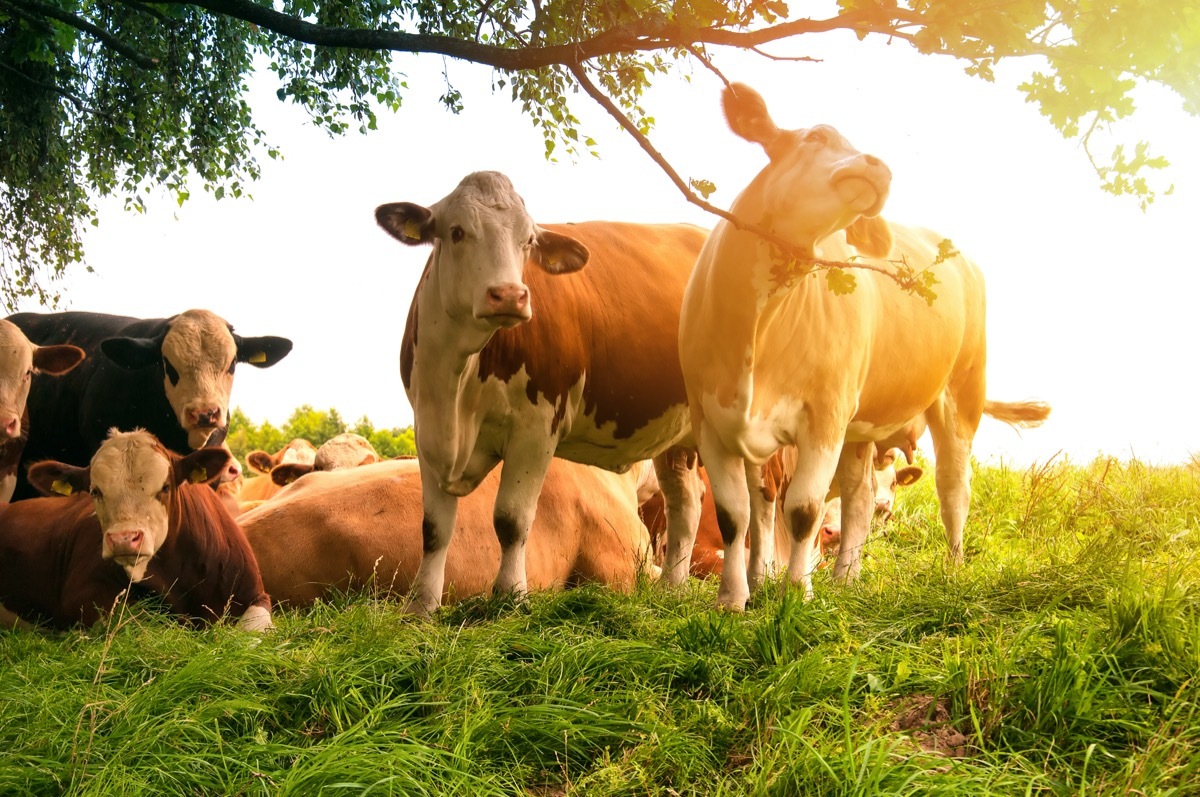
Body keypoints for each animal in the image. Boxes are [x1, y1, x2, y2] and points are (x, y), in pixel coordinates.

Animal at [376, 172, 707, 613]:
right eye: (457, 231)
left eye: (528, 240)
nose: (509, 294)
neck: (456, 382)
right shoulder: (426, 428)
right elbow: (434, 527)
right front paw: (421, 605)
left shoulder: (536, 428)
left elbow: (511, 519)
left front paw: (511, 595)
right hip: (678, 436)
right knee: (685, 506)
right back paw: (674, 589)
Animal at [678, 83, 1050, 609]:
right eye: (815, 136)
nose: (877, 165)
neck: (759, 321)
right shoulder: (709, 416)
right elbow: (738, 515)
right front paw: (733, 599)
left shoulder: (824, 415)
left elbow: (805, 510)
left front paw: (797, 593)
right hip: (860, 424)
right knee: (858, 496)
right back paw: (845, 577)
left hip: (960, 393)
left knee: (953, 487)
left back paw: (953, 570)